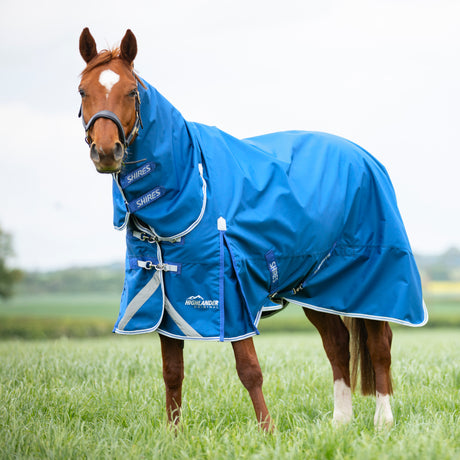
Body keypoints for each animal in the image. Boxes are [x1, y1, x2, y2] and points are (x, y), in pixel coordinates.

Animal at [77, 28, 426, 432]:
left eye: (132, 91)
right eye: (83, 90)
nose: (106, 152)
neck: (192, 186)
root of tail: (365, 157)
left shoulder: (232, 292)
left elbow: (249, 369)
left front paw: (267, 431)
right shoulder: (168, 299)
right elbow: (172, 372)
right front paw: (173, 435)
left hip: (374, 282)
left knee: (380, 345)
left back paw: (383, 421)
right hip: (317, 288)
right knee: (338, 345)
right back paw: (341, 422)